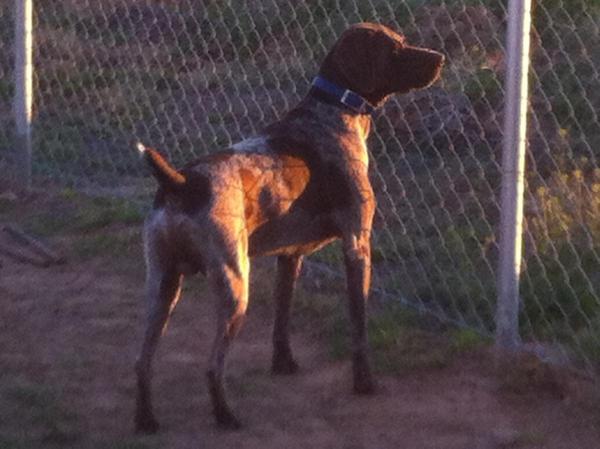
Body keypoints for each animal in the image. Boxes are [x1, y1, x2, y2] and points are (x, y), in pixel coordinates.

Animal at [134, 22, 444, 433]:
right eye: (395, 48)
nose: (440, 58)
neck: (334, 111)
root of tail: (181, 183)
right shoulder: (357, 245)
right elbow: (358, 324)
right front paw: (364, 382)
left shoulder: (291, 256)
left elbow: (282, 319)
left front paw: (283, 365)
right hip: (234, 285)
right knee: (213, 366)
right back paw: (226, 416)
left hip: (163, 287)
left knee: (142, 362)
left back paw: (146, 420)